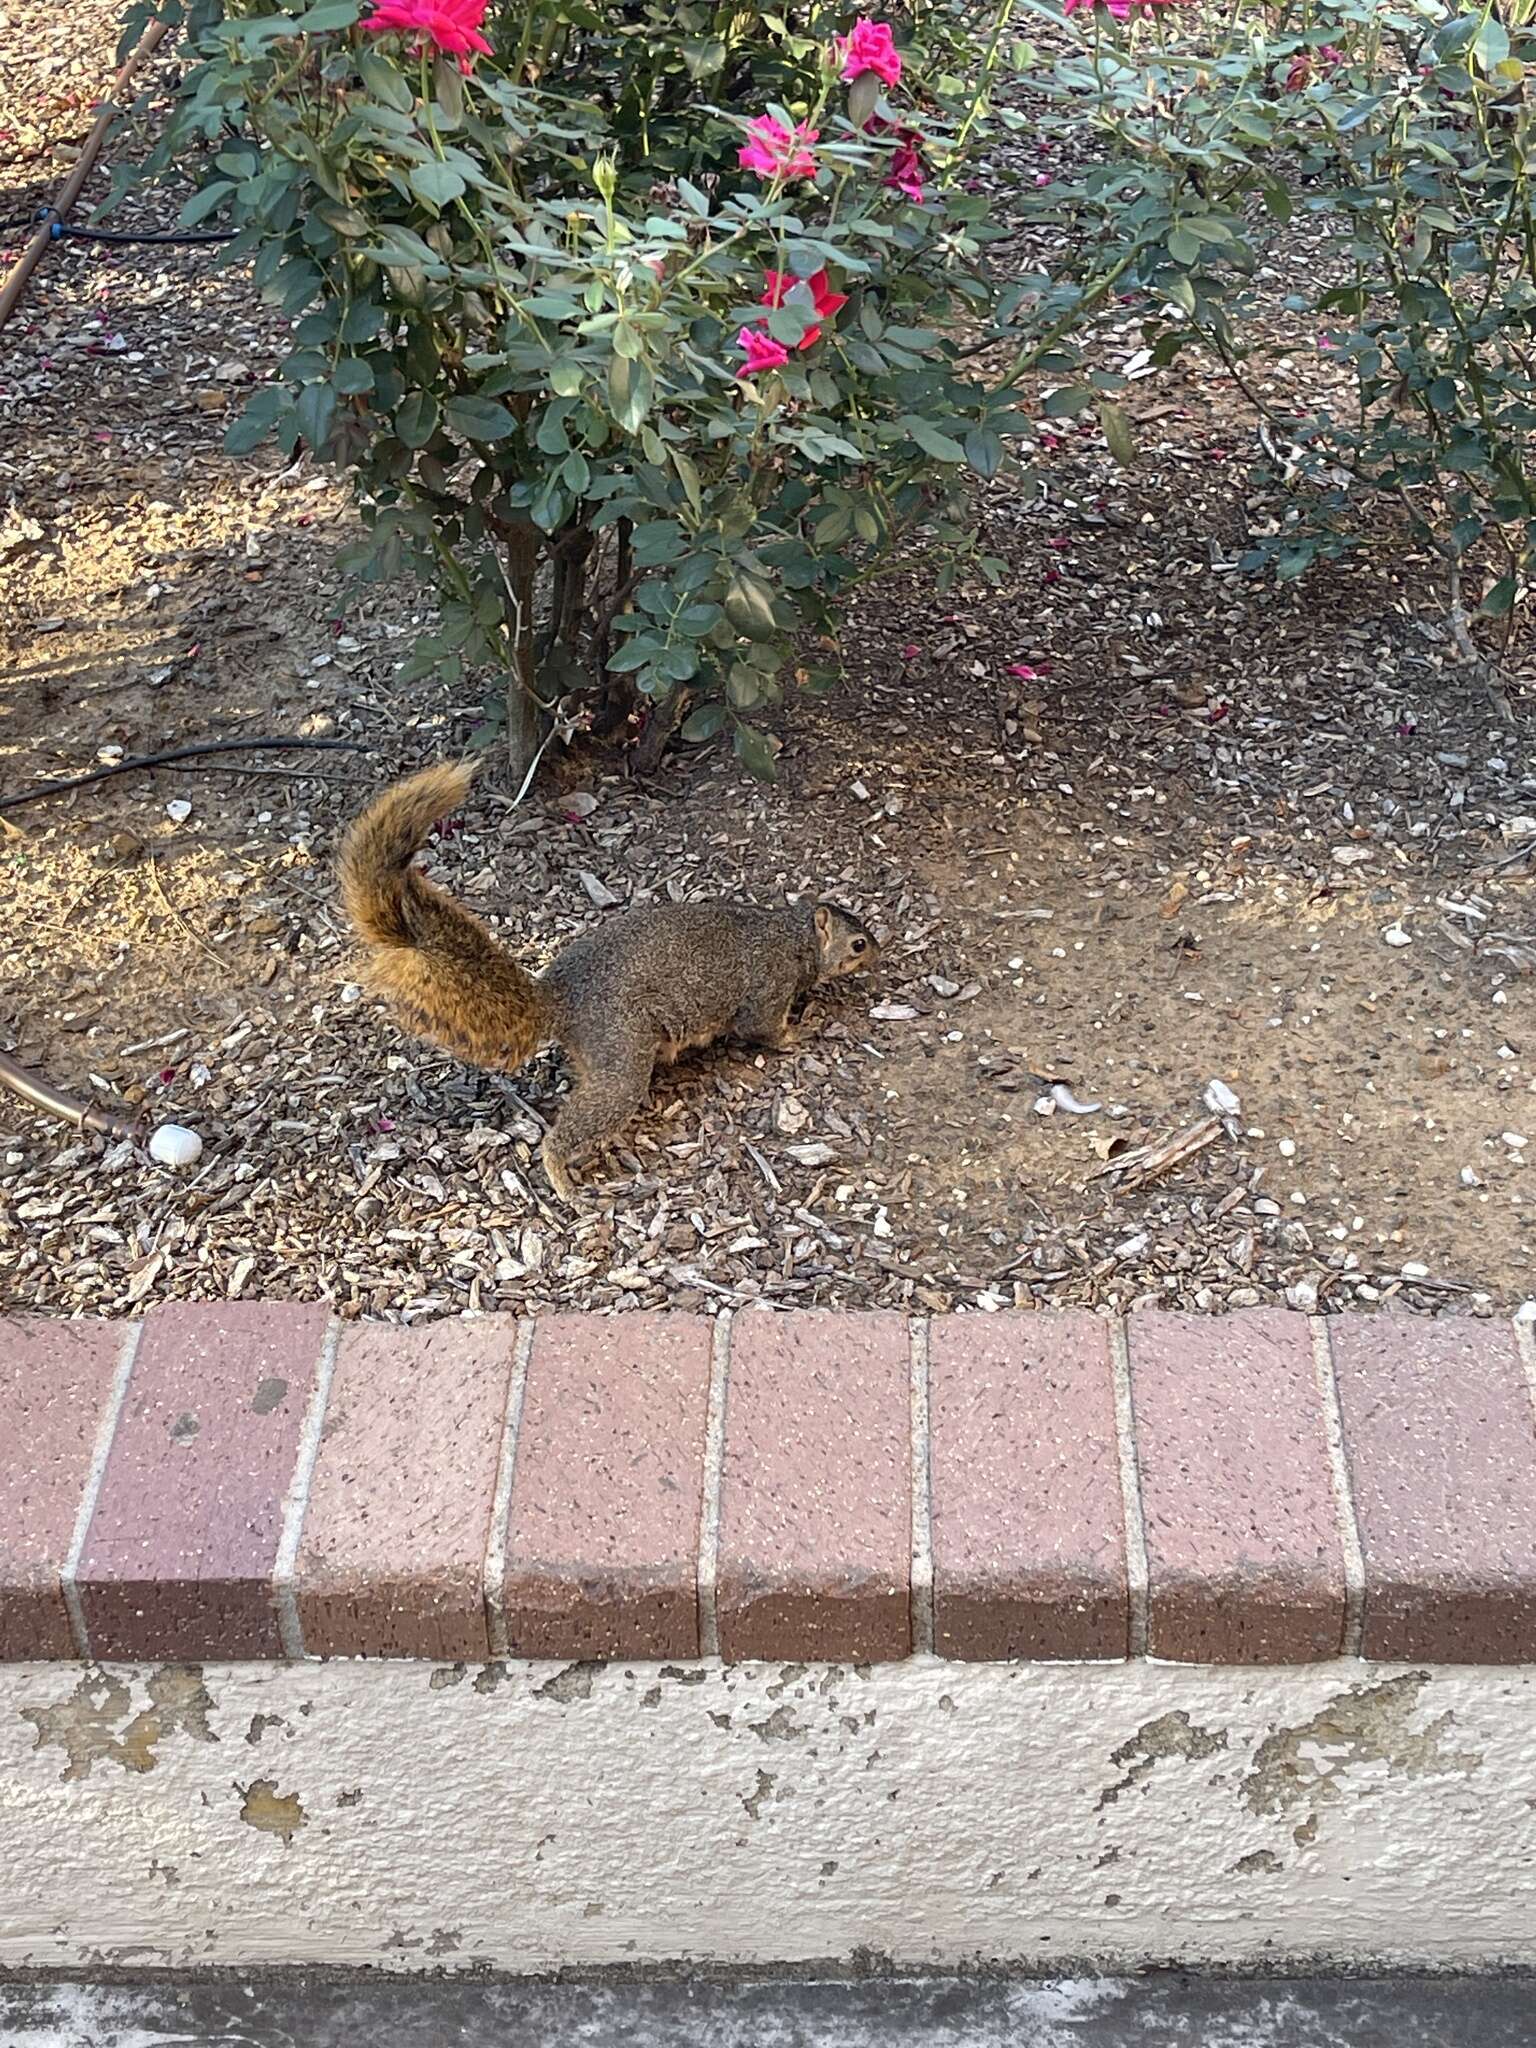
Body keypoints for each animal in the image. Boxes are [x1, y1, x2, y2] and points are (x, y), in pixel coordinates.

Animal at [342, 761, 884, 1196]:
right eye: (858, 943)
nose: (879, 952)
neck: (793, 935)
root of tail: (558, 999)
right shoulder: (768, 986)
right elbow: (763, 1029)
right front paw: (801, 1031)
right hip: (621, 1049)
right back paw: (560, 1175)